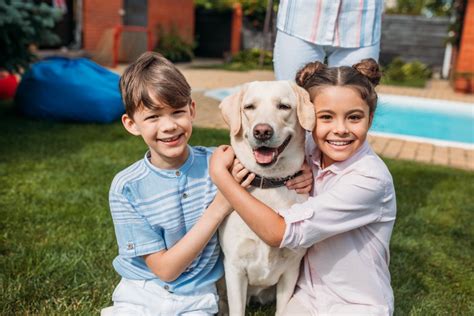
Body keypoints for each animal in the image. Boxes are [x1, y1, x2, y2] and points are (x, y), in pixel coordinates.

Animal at [218, 82, 314, 316]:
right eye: (249, 107)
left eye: (284, 106)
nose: (262, 131)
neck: (269, 183)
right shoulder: (234, 268)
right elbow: (236, 310)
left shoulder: (291, 269)